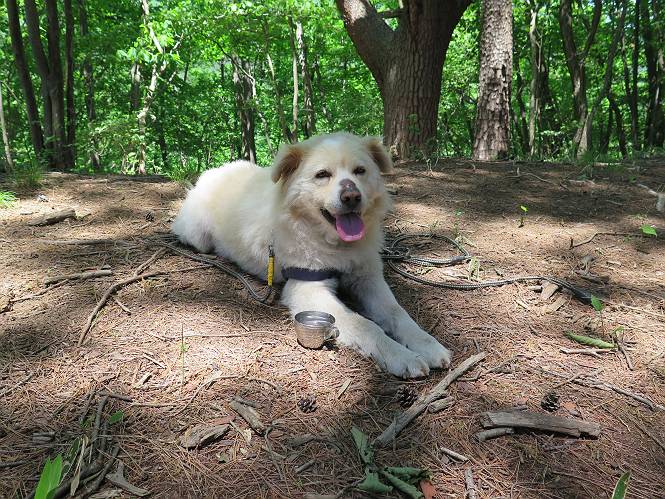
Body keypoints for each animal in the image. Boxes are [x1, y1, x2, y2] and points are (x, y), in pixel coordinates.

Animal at [172, 132, 451, 378]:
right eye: (322, 175)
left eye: (360, 171)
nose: (351, 196)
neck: (335, 245)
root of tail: (214, 171)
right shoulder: (308, 289)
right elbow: (365, 324)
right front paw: (401, 356)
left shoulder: (368, 279)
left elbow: (398, 313)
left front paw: (427, 345)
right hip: (197, 236)